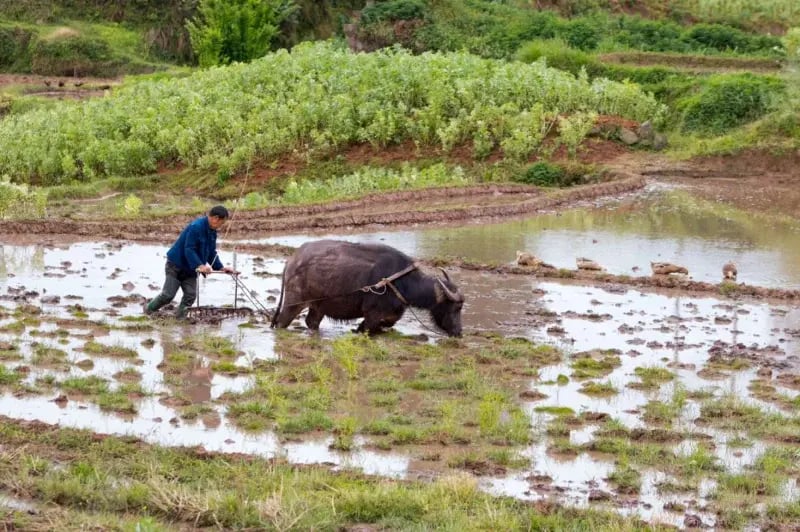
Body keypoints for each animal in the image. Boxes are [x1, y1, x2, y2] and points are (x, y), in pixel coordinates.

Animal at [272, 241, 466, 336]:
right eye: (456, 307)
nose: (458, 332)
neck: (401, 282)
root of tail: (291, 261)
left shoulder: (389, 314)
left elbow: (386, 323)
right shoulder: (372, 312)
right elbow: (368, 327)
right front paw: (358, 330)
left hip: (318, 306)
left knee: (311, 322)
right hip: (293, 302)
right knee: (282, 322)